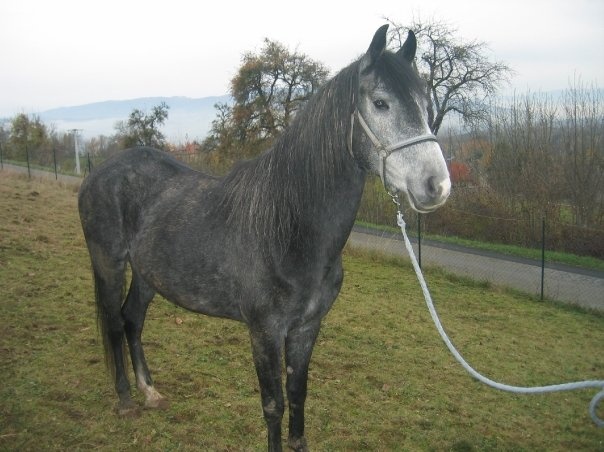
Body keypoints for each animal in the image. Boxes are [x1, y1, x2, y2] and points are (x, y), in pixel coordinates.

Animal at [78, 25, 448, 452]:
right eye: (381, 103)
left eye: (425, 103)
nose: (437, 185)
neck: (287, 230)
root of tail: (99, 172)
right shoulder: (264, 332)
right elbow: (274, 404)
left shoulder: (306, 328)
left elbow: (298, 394)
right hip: (109, 265)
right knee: (114, 323)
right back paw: (125, 400)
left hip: (146, 274)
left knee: (132, 319)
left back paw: (150, 393)